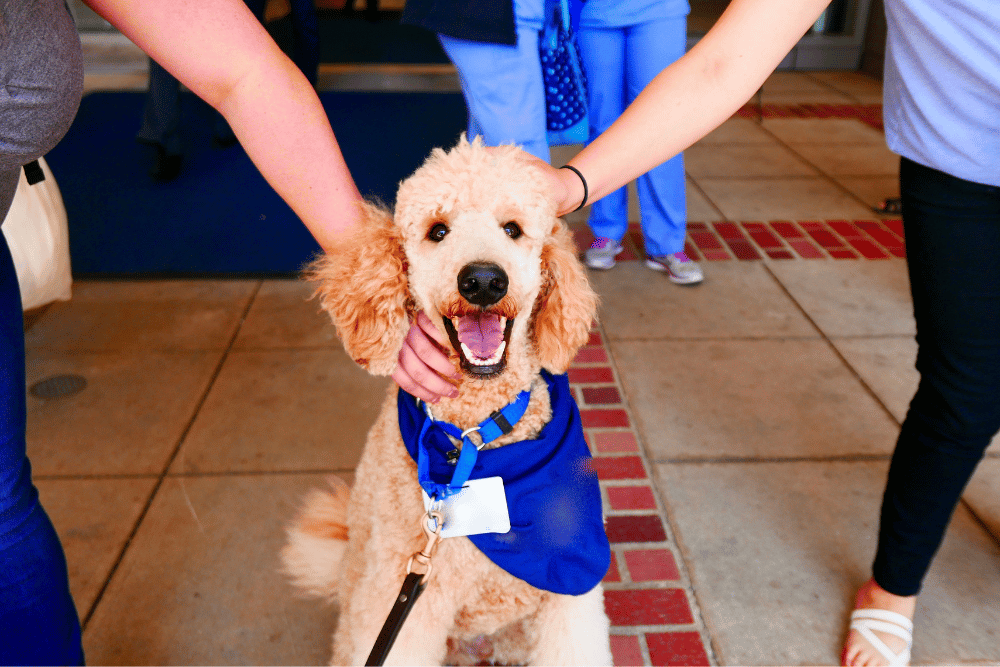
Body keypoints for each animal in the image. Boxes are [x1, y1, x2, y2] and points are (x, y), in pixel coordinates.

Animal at [280, 137, 608, 667]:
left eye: (512, 229)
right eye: (438, 231)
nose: (484, 280)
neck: (476, 435)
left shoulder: (570, 594)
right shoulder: (407, 601)